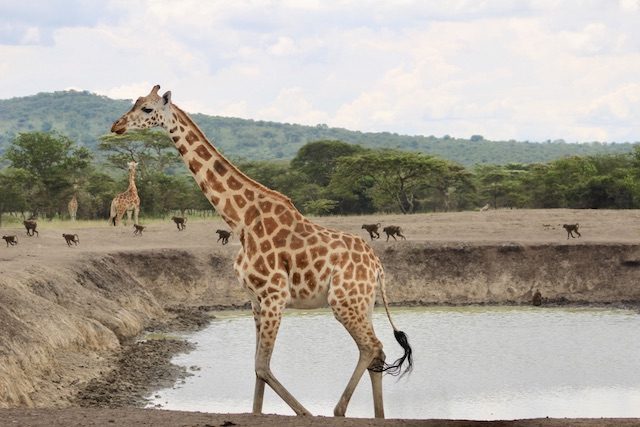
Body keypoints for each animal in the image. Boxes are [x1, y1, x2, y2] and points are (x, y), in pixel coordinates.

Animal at [110, 85, 412, 420]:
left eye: (148, 109)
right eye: (134, 103)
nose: (116, 126)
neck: (240, 219)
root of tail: (378, 267)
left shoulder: (274, 296)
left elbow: (263, 366)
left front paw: (306, 414)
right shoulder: (255, 300)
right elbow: (256, 369)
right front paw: (258, 413)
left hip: (344, 301)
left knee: (371, 346)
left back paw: (338, 410)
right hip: (361, 302)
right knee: (377, 350)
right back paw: (378, 415)